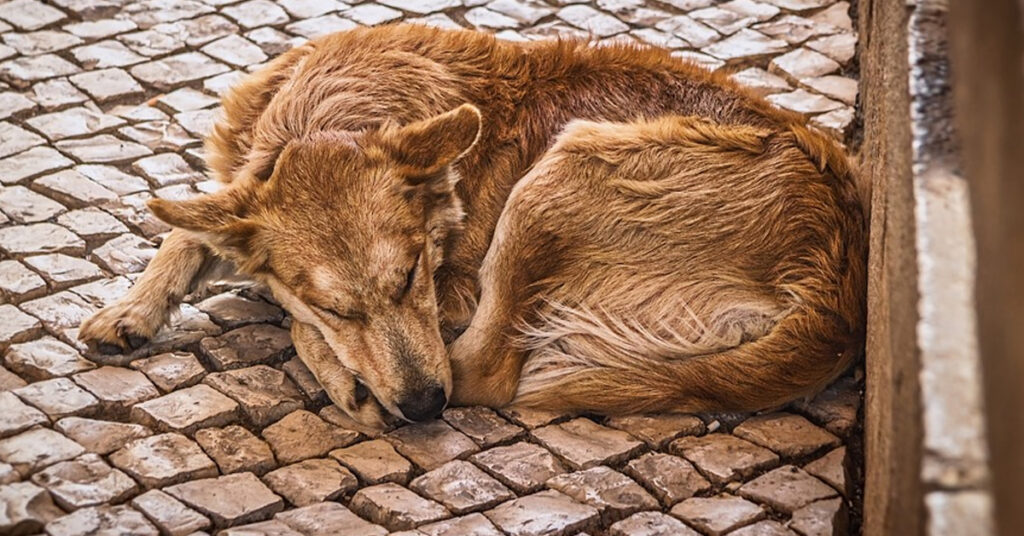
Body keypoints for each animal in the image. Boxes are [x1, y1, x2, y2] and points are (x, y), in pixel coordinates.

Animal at [79, 24, 864, 428]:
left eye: (412, 277)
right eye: (343, 306)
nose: (426, 408)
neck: (335, 110)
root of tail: (838, 298)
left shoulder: (452, 292)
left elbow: (287, 309)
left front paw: (339, 368)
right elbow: (191, 225)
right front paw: (130, 310)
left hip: (558, 176)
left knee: (484, 372)